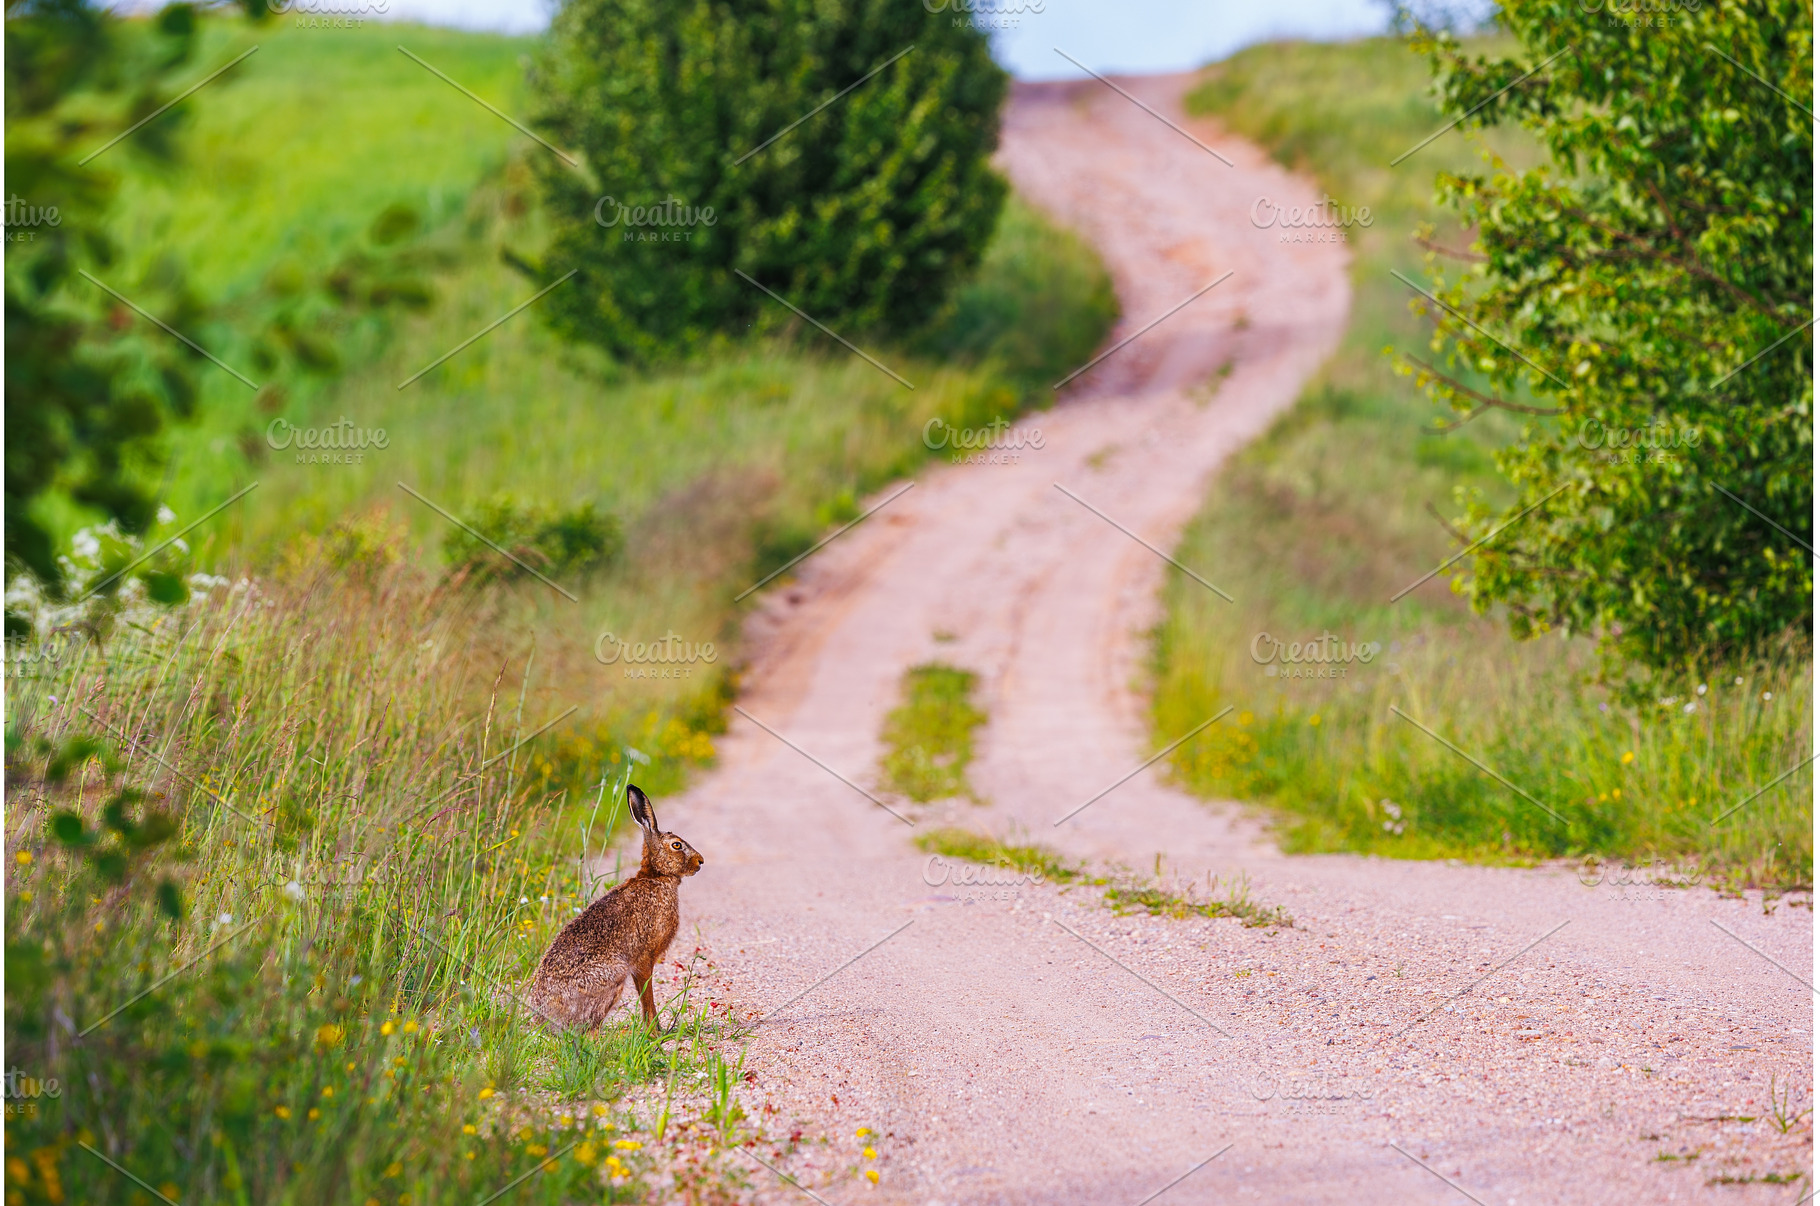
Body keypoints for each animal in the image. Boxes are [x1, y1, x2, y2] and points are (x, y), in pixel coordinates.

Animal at [529, 784, 704, 1030]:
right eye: (677, 845)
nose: (700, 862)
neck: (657, 876)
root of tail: (546, 1019)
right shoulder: (643, 958)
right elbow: (647, 996)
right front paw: (655, 1032)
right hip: (613, 975)